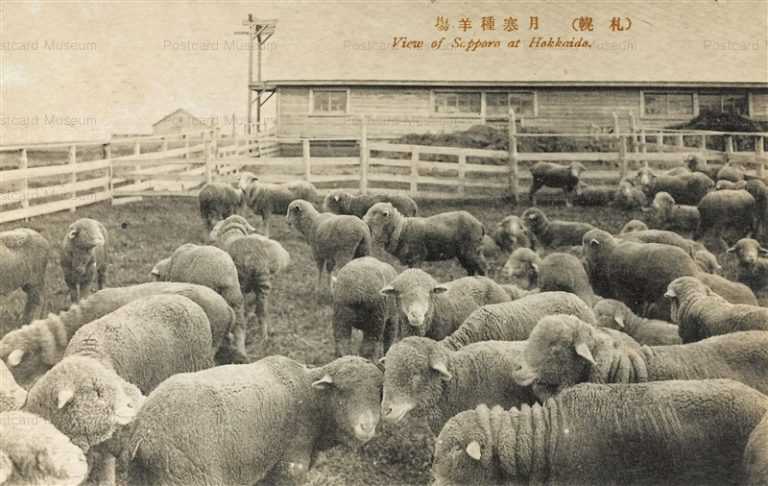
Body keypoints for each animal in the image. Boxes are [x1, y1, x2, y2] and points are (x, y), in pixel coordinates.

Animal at [121, 355, 382, 486]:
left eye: (380, 393)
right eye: (342, 392)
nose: (366, 427)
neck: (310, 399)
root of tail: (146, 432)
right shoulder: (289, 468)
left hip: (142, 477)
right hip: (190, 476)